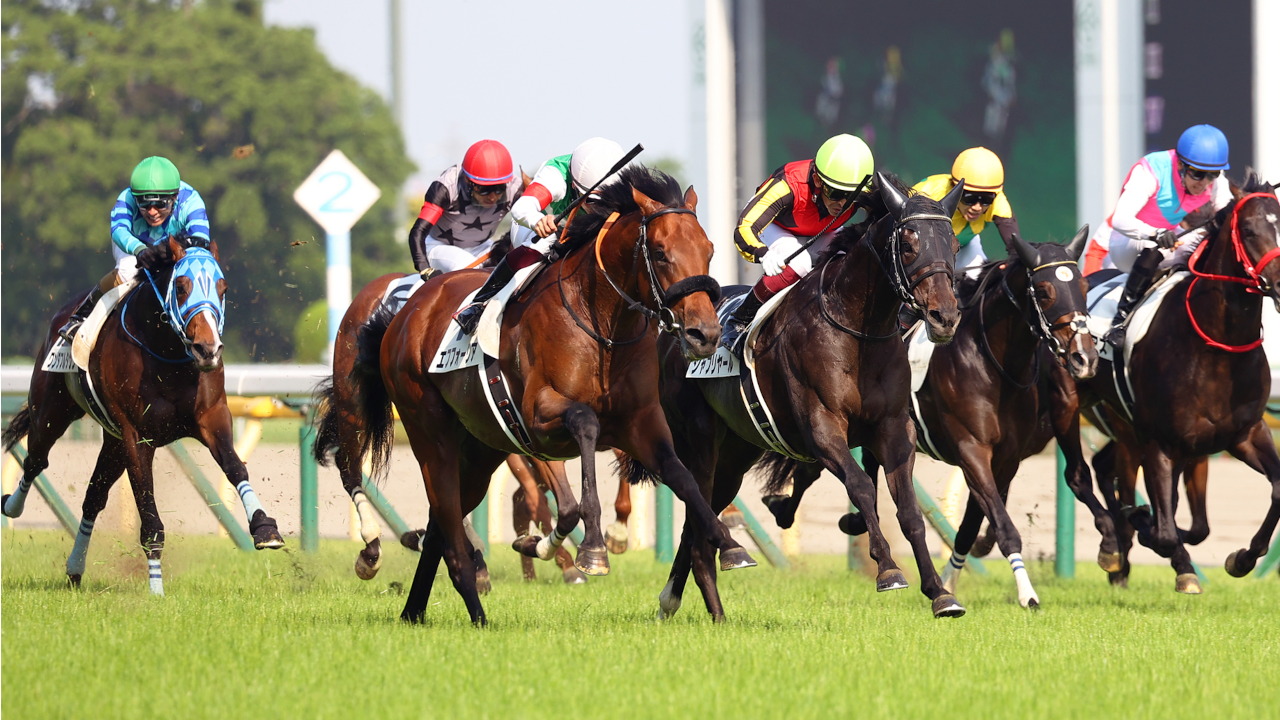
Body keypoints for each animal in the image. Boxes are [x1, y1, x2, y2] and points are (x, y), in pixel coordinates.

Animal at [1, 235, 284, 594]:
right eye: (181, 286)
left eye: (223, 288)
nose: (208, 349)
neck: (169, 354)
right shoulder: (137, 436)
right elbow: (148, 509)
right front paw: (156, 587)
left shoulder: (212, 418)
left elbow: (235, 467)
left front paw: (265, 528)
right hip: (51, 413)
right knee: (36, 461)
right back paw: (12, 506)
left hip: (112, 440)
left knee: (93, 497)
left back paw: (75, 568)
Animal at [321, 166, 750, 625]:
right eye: (661, 251)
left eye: (709, 250)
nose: (705, 334)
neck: (601, 325)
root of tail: (407, 309)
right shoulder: (537, 418)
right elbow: (584, 430)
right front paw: (591, 548)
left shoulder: (641, 424)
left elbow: (682, 479)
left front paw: (728, 543)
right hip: (425, 432)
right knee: (402, 497)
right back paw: (450, 597)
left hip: (480, 450)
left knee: (442, 524)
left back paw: (415, 608)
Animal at [634, 172, 968, 621]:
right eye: (909, 244)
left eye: (953, 245)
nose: (944, 316)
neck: (856, 330)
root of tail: (673, 331)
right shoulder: (822, 427)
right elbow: (861, 487)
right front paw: (888, 569)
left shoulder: (894, 428)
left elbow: (909, 508)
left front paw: (939, 593)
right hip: (698, 437)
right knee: (696, 502)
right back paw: (711, 593)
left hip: (737, 452)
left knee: (704, 512)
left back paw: (682, 592)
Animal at [785, 230, 1101, 609]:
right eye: (1043, 291)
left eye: (1083, 286)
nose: (1084, 357)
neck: (993, 364)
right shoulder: (971, 449)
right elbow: (1004, 526)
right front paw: (1027, 594)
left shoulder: (1006, 458)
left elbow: (975, 524)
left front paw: (952, 579)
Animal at [1075, 172, 1280, 593]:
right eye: (1249, 230)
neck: (1218, 347)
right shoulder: (1162, 442)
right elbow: (1165, 531)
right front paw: (1147, 531)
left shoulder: (1244, 434)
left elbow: (1267, 496)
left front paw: (1241, 559)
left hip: (1131, 430)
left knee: (1107, 469)